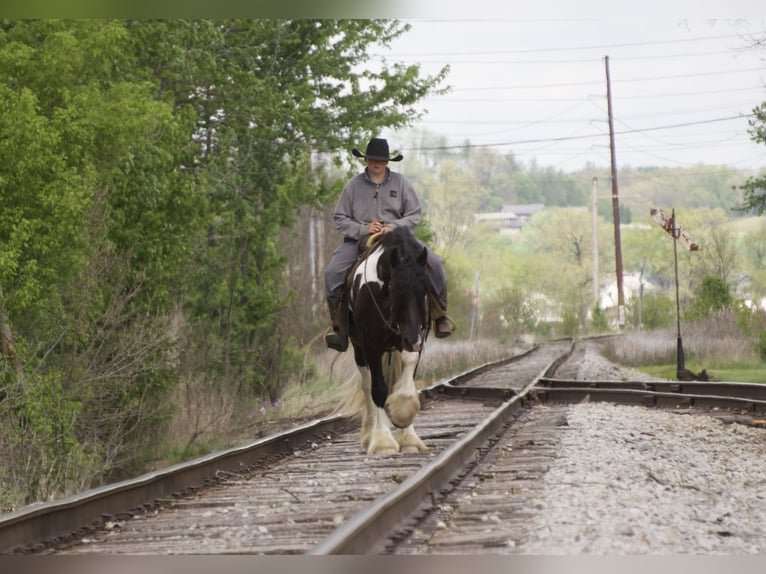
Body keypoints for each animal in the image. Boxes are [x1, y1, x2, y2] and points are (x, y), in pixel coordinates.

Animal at [345, 226, 431, 455]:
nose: (412, 339)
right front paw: (383, 442)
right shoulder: (370, 345)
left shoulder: (414, 338)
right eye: (394, 289)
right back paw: (369, 435)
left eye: (424, 289)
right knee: (367, 385)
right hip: (358, 349)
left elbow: (408, 377)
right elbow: (379, 390)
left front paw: (407, 432)